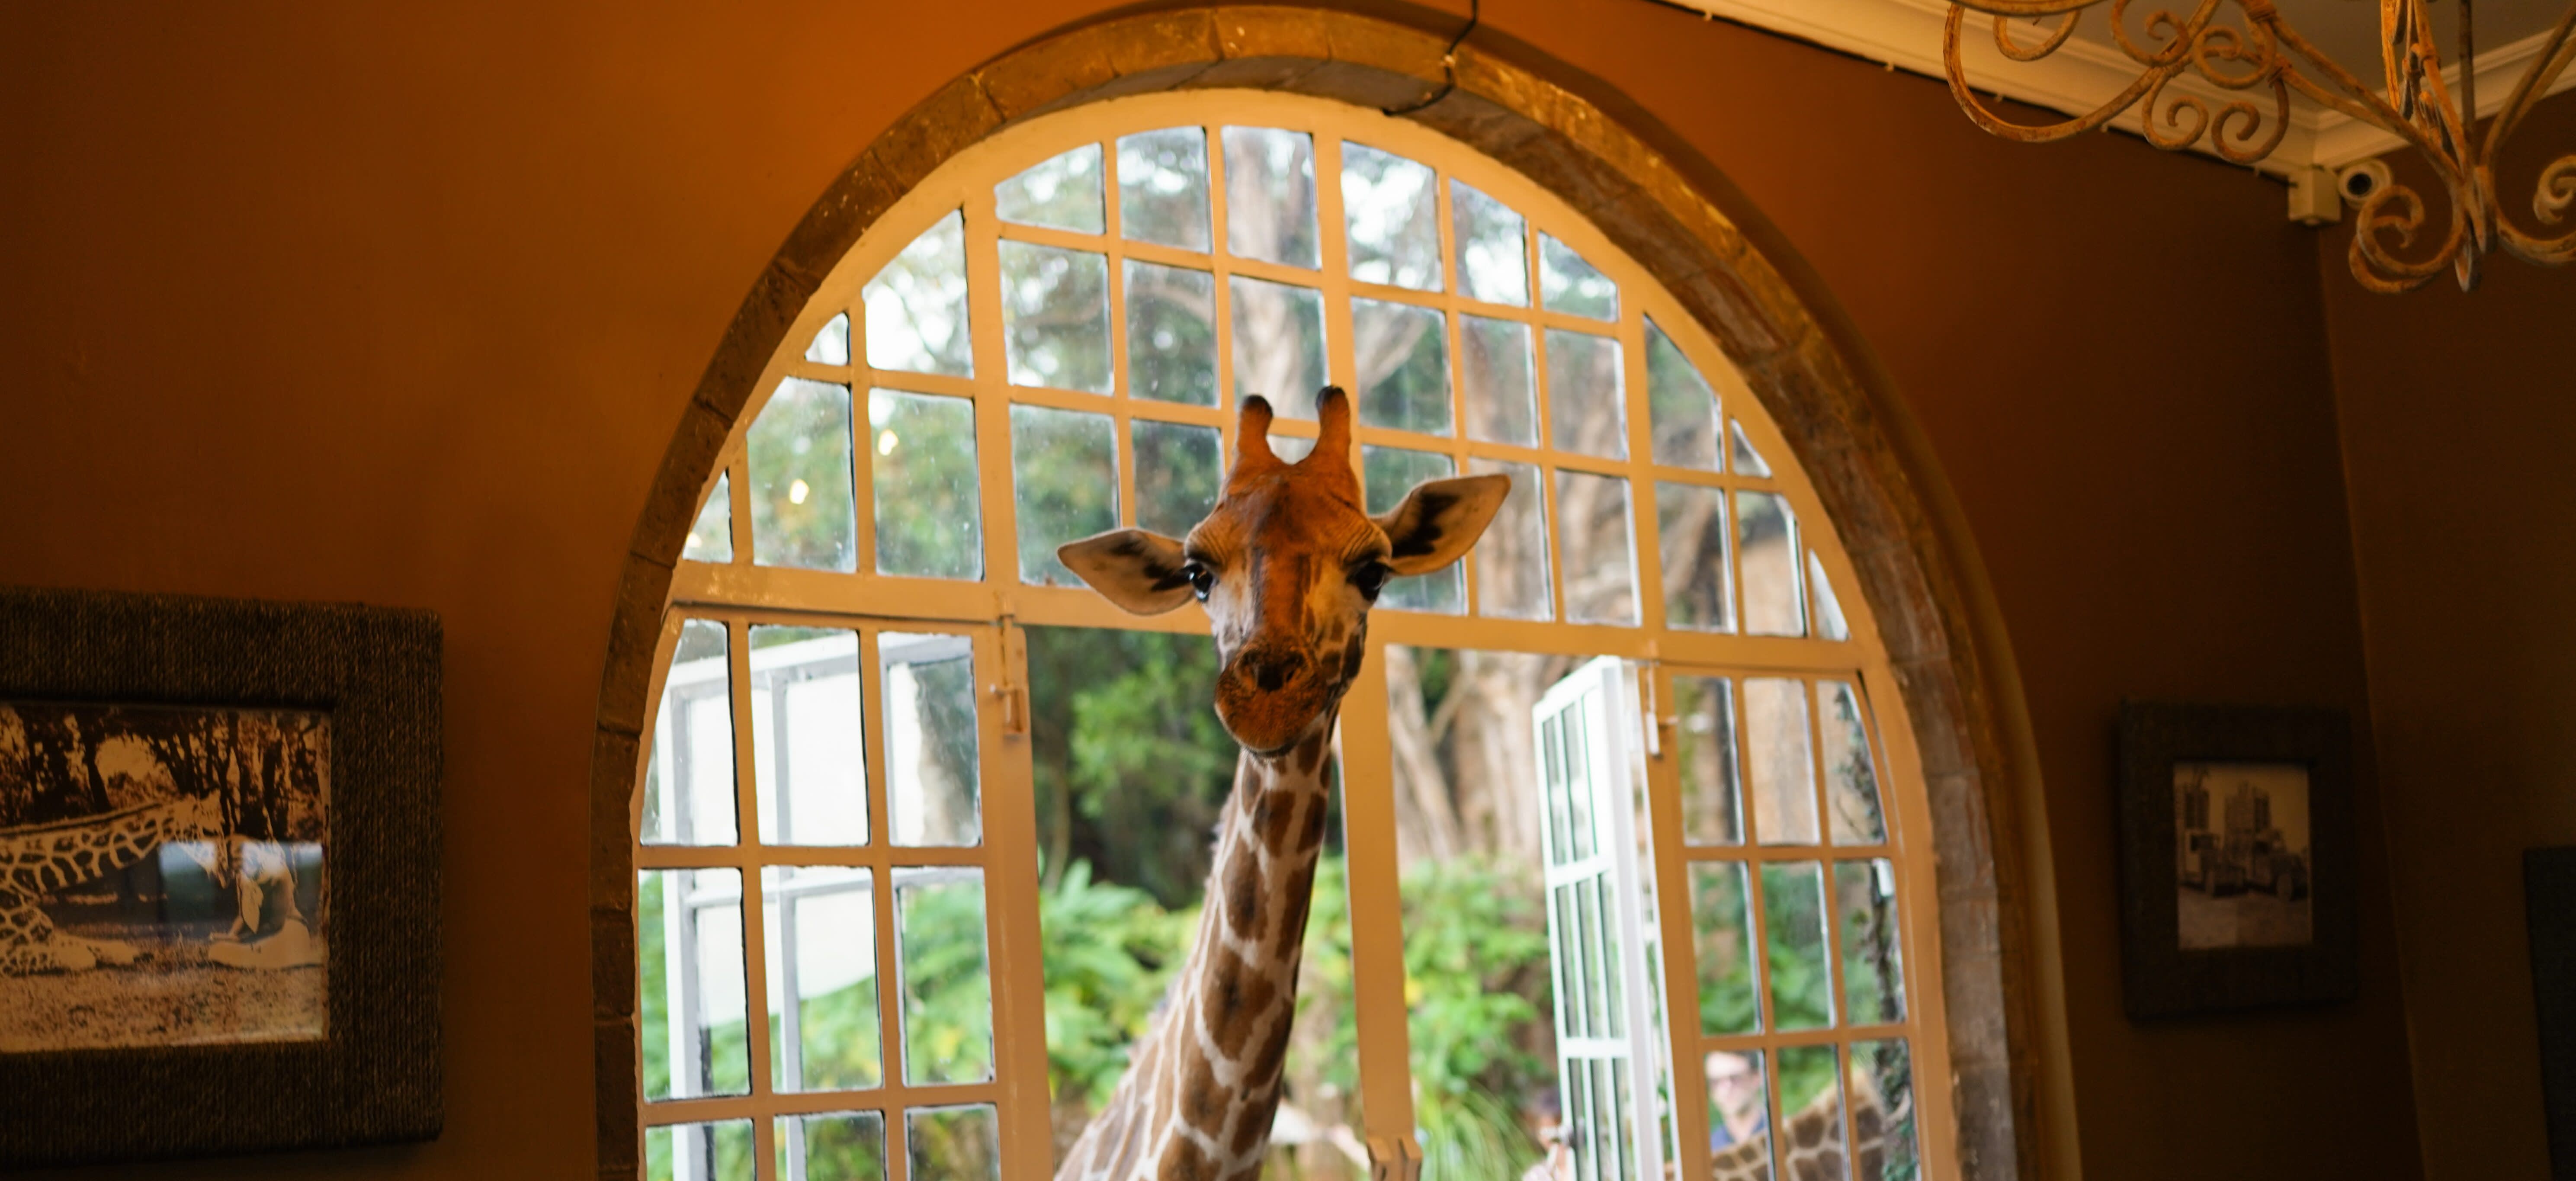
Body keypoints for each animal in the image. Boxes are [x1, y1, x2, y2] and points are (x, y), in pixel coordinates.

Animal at [0, 793, 223, 975]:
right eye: (208, 830)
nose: (222, 869)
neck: (30, 881)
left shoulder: (47, 932)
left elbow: (111, 947)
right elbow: (82, 957)